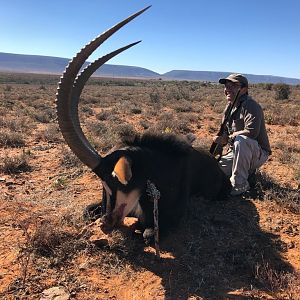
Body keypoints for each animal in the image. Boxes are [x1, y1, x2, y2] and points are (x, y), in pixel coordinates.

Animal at [55, 6, 230, 241]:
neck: (155, 173)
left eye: (113, 182)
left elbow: (147, 233)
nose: (105, 223)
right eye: (101, 185)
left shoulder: (172, 217)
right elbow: (85, 210)